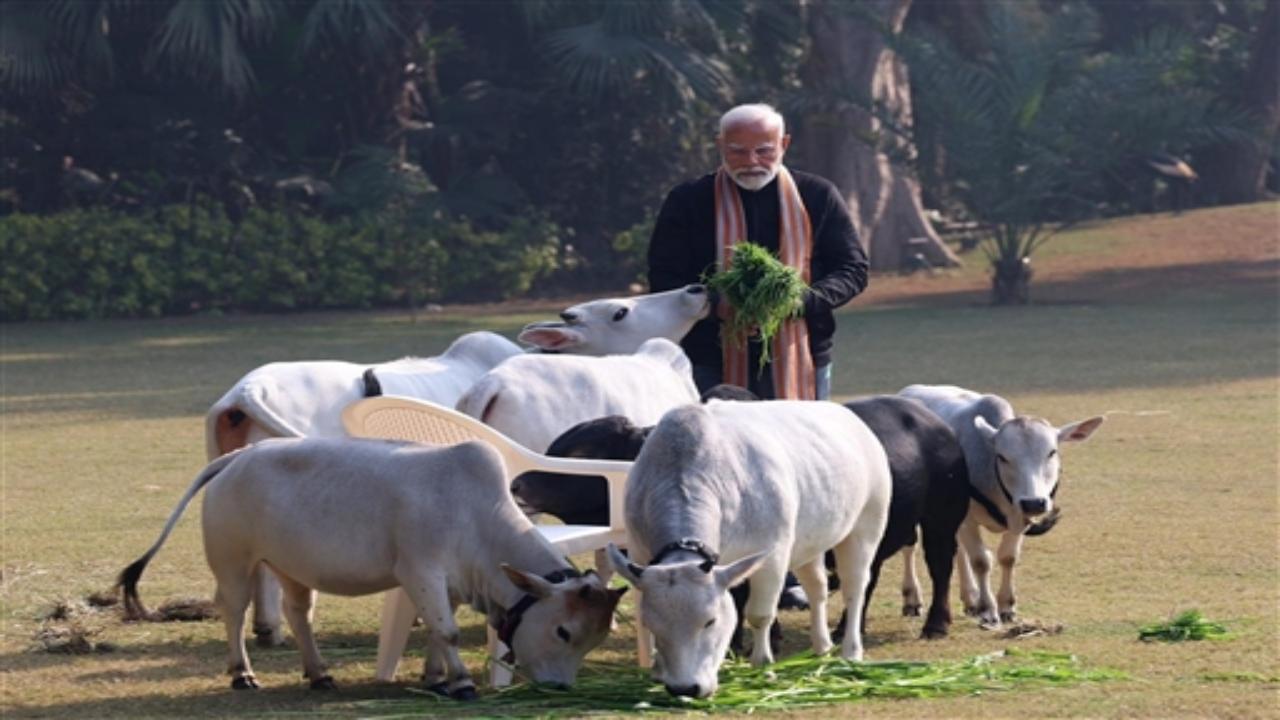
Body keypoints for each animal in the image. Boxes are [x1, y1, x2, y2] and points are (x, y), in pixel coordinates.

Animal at [118, 438, 624, 695]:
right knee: (234, 611)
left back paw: (319, 673)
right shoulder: (421, 571)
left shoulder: (448, 584)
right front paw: (460, 681)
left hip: (290, 567)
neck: (476, 513)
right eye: (563, 631)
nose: (561, 688)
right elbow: (447, 631)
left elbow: (437, 629)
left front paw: (435, 677)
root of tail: (238, 456)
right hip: (234, 561)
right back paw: (242, 674)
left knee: (298, 613)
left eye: (595, 639)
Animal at [606, 400, 892, 699]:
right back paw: (822, 646)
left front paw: (762, 665)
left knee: (854, 588)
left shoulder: (773, 555)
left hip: (867, 524)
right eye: (653, 624)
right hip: (809, 542)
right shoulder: (639, 552)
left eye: (710, 621)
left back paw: (851, 651)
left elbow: (759, 614)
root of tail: (847, 415)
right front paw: (657, 669)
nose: (685, 688)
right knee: (817, 588)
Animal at [898, 384, 1105, 627]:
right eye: (1003, 457)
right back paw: (912, 599)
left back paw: (970, 598)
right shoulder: (968, 518)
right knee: (910, 546)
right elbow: (981, 560)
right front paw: (988, 610)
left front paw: (1006, 606)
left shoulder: (1018, 516)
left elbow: (1008, 557)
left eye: (1052, 452)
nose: (1034, 502)